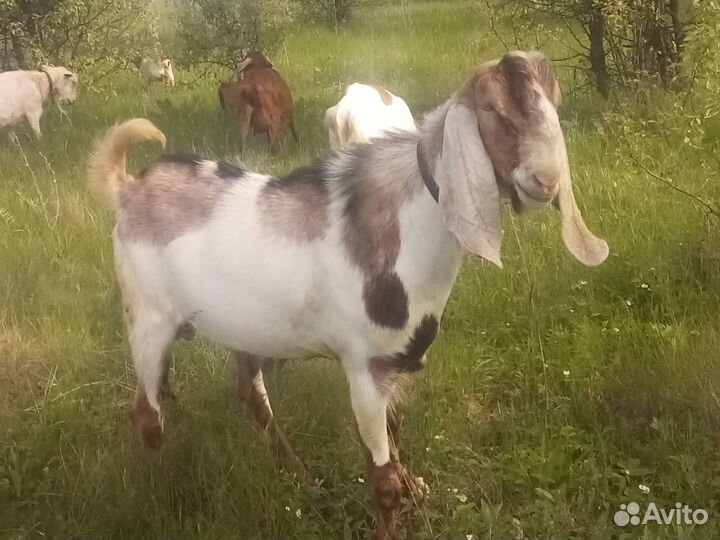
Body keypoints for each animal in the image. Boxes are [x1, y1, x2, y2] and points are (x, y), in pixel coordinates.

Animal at [88, 51, 608, 540]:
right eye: (493, 110)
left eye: (555, 104)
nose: (545, 181)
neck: (405, 229)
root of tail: (128, 189)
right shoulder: (363, 367)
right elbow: (381, 479)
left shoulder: (391, 366)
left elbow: (394, 437)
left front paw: (416, 488)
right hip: (148, 319)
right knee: (147, 413)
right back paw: (161, 492)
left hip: (241, 328)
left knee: (247, 396)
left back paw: (300, 476)